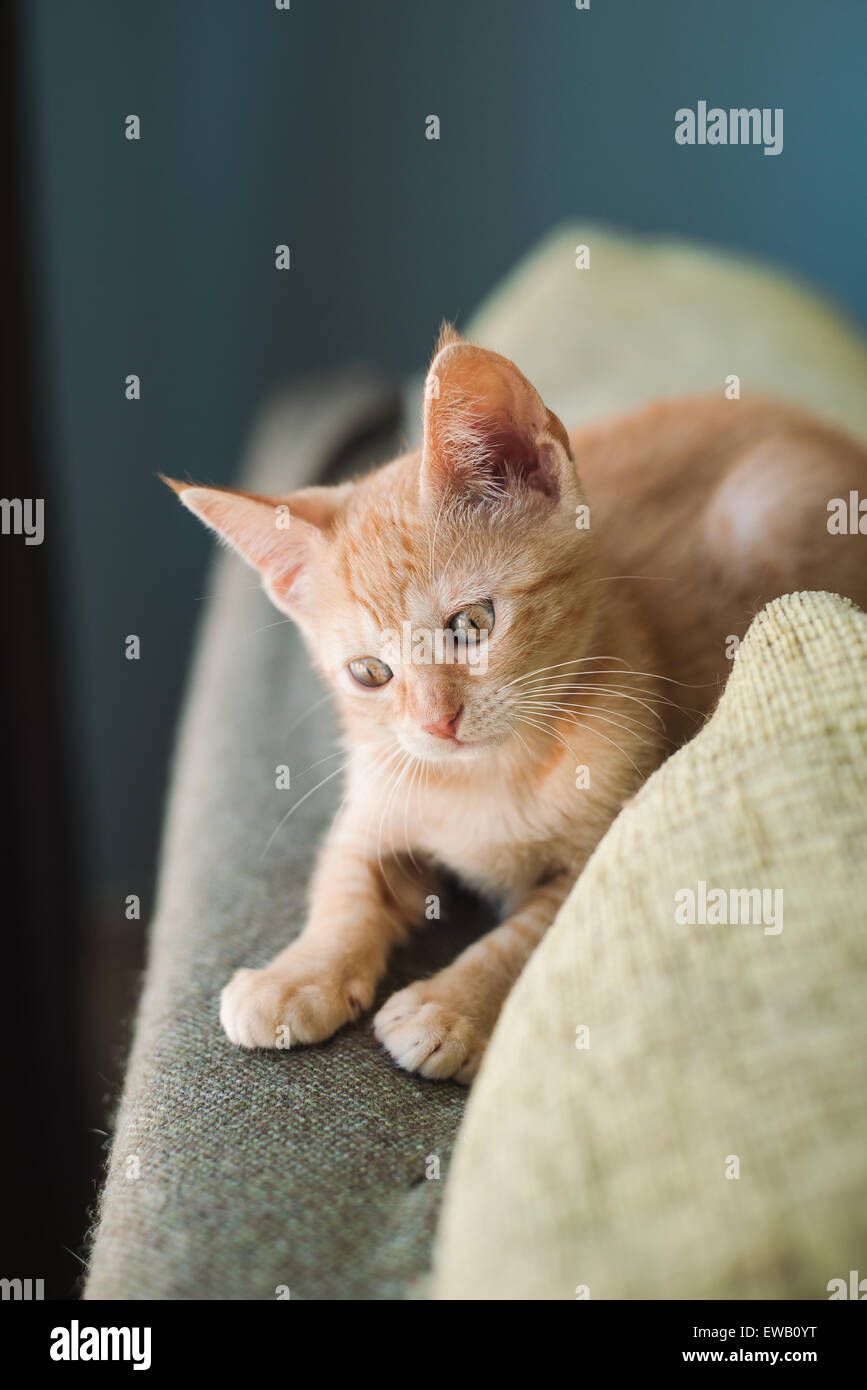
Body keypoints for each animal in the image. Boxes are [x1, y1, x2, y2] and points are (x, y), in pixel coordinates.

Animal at [166, 330, 867, 1078]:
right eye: (369, 672)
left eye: (472, 623)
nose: (435, 723)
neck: (488, 781)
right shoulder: (375, 800)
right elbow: (344, 888)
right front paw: (296, 975)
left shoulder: (598, 841)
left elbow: (525, 940)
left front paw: (451, 1007)